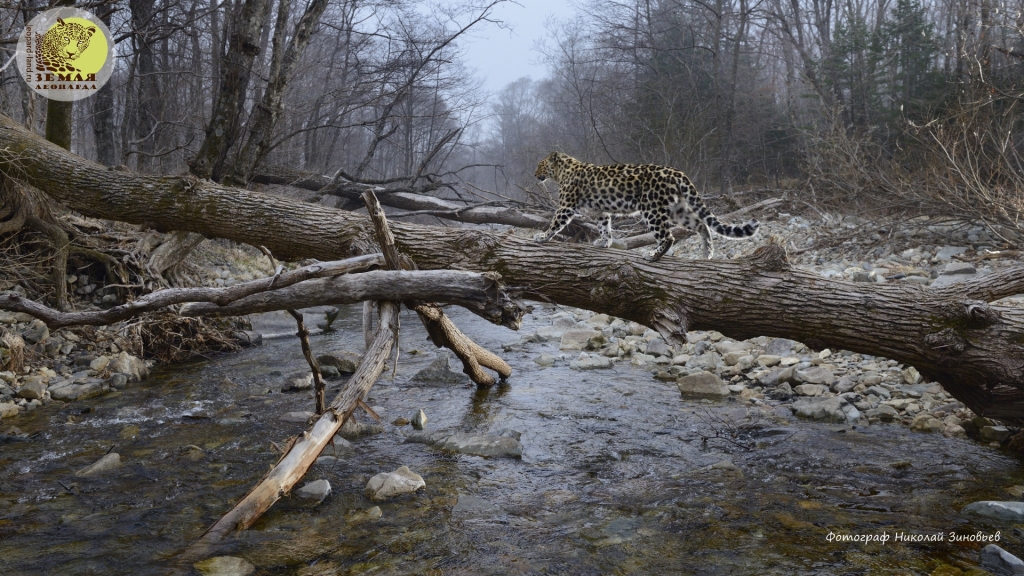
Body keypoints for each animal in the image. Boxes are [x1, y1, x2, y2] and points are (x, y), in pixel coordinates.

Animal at [532, 152, 757, 260]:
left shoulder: (565, 207)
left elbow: (555, 223)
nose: (534, 175)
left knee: (668, 236)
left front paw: (542, 237)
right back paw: (707, 253)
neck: (561, 172)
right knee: (702, 225)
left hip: (651, 209)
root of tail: (677, 172)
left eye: (540, 165)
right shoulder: (600, 211)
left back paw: (653, 255)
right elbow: (605, 227)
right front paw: (604, 242)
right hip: (677, 210)